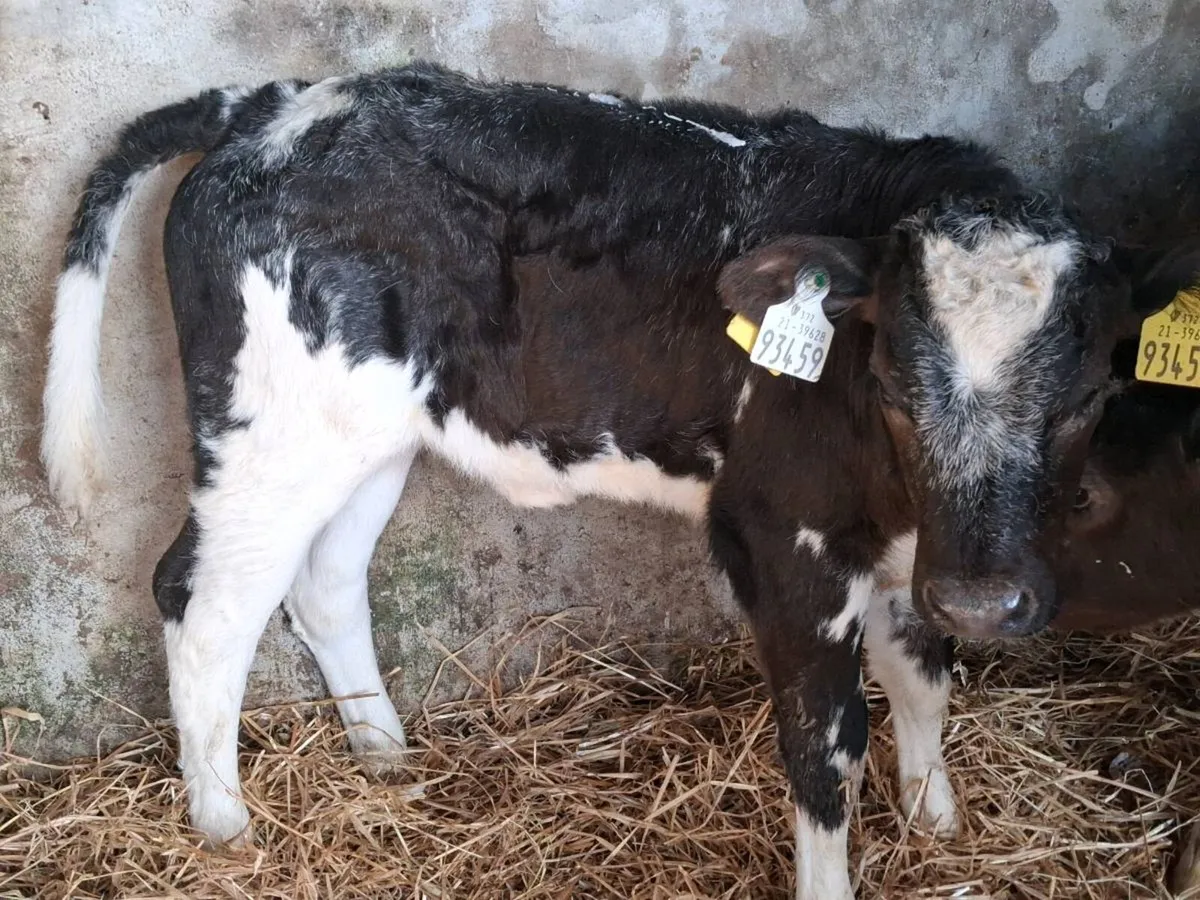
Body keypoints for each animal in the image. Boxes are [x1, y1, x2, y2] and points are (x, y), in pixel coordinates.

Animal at [39, 62, 1194, 898]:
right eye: (892, 386)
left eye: (1092, 392)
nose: (989, 601)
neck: (899, 498)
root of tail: (271, 103)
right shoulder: (782, 534)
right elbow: (827, 746)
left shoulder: (919, 551)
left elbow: (922, 679)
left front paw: (941, 827)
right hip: (267, 429)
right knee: (206, 601)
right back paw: (226, 829)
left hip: (368, 431)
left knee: (322, 582)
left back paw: (387, 760)